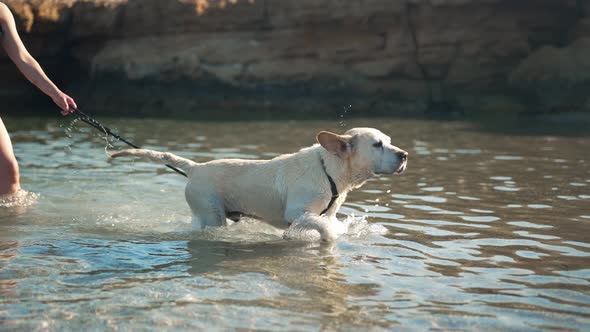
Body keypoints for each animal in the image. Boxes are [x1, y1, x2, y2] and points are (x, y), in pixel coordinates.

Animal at [110, 127, 408, 241]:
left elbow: (326, 222)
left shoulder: (326, 212)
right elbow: (323, 226)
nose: (404, 155)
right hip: (211, 215)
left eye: (389, 141)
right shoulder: (297, 212)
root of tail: (195, 168)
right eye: (377, 145)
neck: (331, 170)